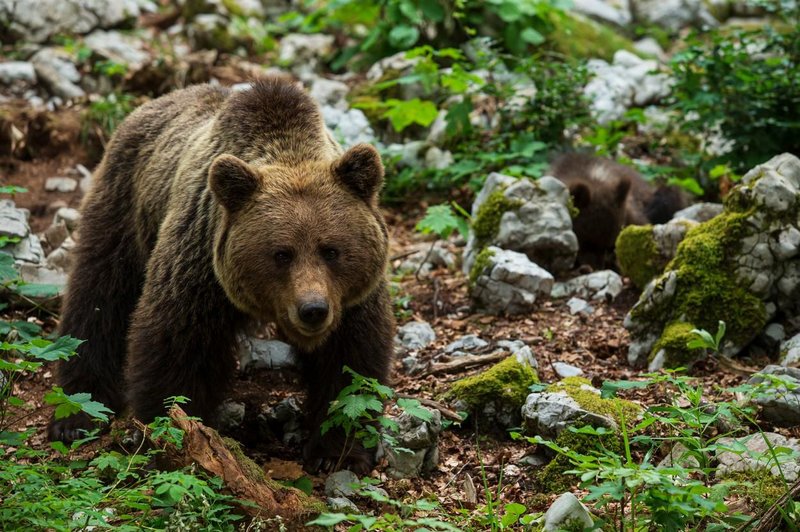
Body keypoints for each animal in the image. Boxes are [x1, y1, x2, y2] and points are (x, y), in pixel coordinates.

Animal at [47, 75, 394, 474]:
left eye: (331, 250)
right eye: (282, 254)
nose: (313, 310)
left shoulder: (352, 298)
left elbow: (351, 368)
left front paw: (337, 452)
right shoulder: (200, 263)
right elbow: (175, 345)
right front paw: (174, 439)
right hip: (126, 204)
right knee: (99, 297)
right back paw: (77, 412)